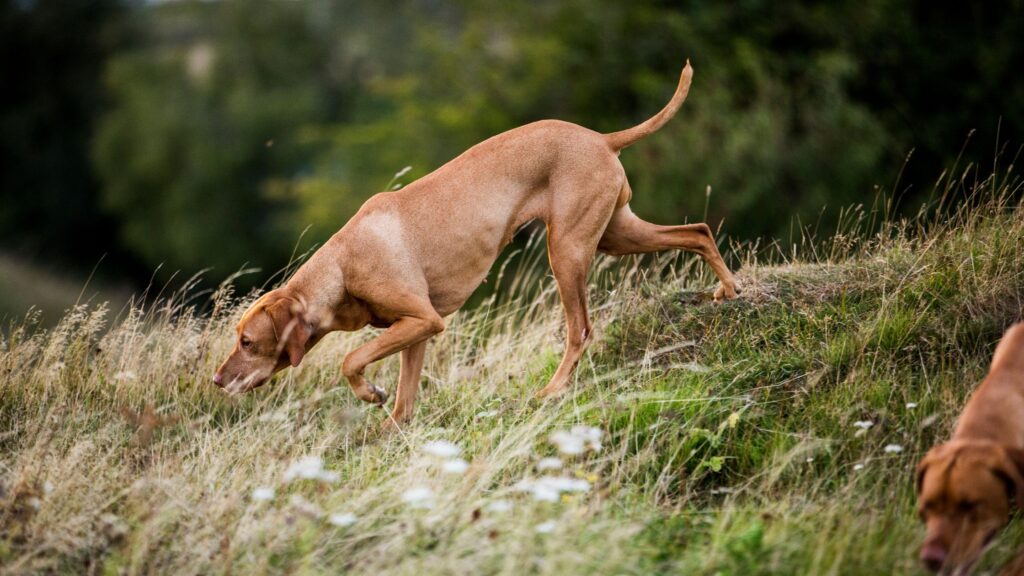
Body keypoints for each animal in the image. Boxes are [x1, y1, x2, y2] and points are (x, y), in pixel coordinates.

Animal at [211, 60, 737, 424]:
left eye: (247, 341)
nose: (216, 379)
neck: (342, 268)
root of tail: (601, 138)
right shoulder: (415, 331)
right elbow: (403, 401)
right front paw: (391, 432)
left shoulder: (423, 320)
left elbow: (350, 358)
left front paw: (368, 394)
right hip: (615, 233)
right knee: (697, 231)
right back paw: (728, 290)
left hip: (567, 252)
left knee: (581, 330)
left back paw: (552, 391)